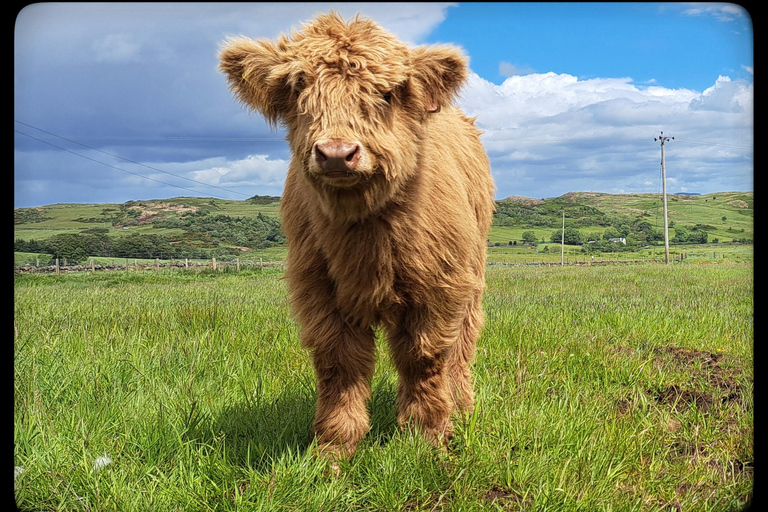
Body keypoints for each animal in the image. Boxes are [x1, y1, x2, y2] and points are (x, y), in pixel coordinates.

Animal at [219, 11, 495, 464]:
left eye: (387, 93)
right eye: (298, 88)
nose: (336, 153)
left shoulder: (437, 288)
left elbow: (423, 359)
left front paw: (428, 439)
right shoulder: (319, 291)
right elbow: (339, 364)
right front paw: (332, 451)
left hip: (471, 276)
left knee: (462, 345)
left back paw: (461, 407)